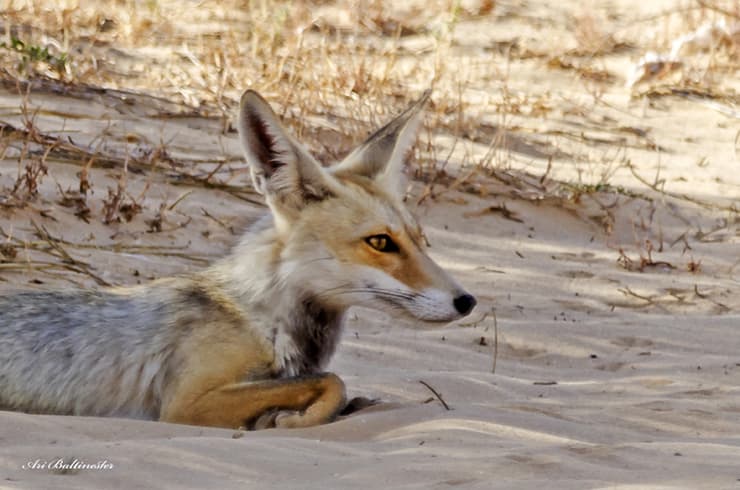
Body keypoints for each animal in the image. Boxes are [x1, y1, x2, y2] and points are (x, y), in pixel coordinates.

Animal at [0, 88, 474, 428]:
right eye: (380, 242)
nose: (467, 301)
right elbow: (332, 381)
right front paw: (289, 419)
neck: (262, 318)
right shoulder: (187, 403)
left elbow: (344, 389)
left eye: (419, 240)